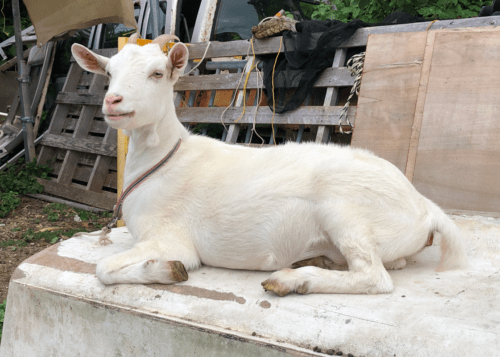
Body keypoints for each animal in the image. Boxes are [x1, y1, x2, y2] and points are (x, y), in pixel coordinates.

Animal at [71, 34, 468, 294]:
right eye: (109, 73)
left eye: (157, 73)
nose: (113, 101)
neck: (166, 160)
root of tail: (425, 207)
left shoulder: (170, 238)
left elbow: (103, 268)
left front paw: (168, 270)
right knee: (389, 263)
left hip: (345, 210)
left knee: (375, 276)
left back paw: (291, 279)